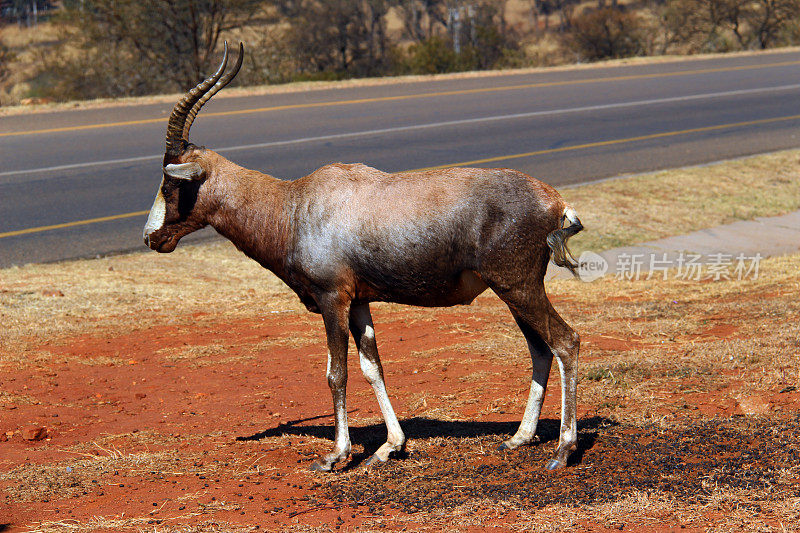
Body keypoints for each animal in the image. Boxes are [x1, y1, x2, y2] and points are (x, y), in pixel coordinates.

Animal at [144, 42, 580, 470]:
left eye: (169, 181)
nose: (151, 238)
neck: (295, 204)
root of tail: (555, 203)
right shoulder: (359, 302)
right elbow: (373, 368)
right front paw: (390, 447)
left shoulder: (332, 299)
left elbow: (336, 372)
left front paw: (336, 455)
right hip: (514, 293)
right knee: (540, 349)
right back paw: (519, 438)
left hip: (518, 288)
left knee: (565, 342)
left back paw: (562, 451)